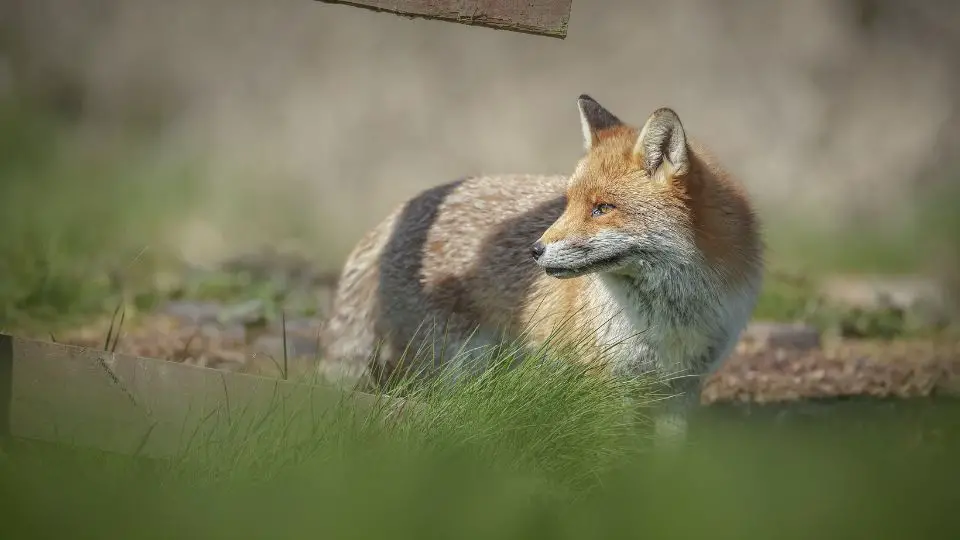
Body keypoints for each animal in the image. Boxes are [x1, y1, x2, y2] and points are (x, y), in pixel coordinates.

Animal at [322, 94, 764, 430]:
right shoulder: (607, 385)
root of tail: (398, 213)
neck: (671, 319)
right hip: (454, 366)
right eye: (568, 203)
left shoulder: (681, 390)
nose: (534, 250)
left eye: (602, 208)